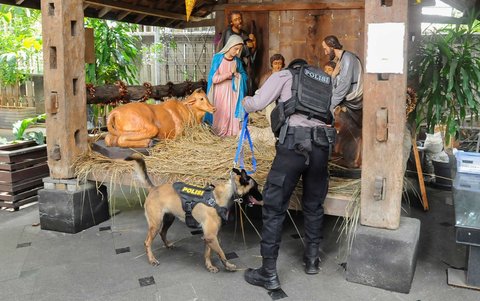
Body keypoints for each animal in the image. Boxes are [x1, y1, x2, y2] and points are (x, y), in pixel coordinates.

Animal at [125, 154, 262, 274]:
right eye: (256, 187)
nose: (262, 197)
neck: (221, 196)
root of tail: (154, 188)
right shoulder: (211, 236)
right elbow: (221, 252)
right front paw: (228, 265)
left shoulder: (209, 237)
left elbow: (208, 253)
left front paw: (209, 266)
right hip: (156, 224)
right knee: (147, 242)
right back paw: (152, 259)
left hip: (168, 219)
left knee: (162, 232)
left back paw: (167, 245)